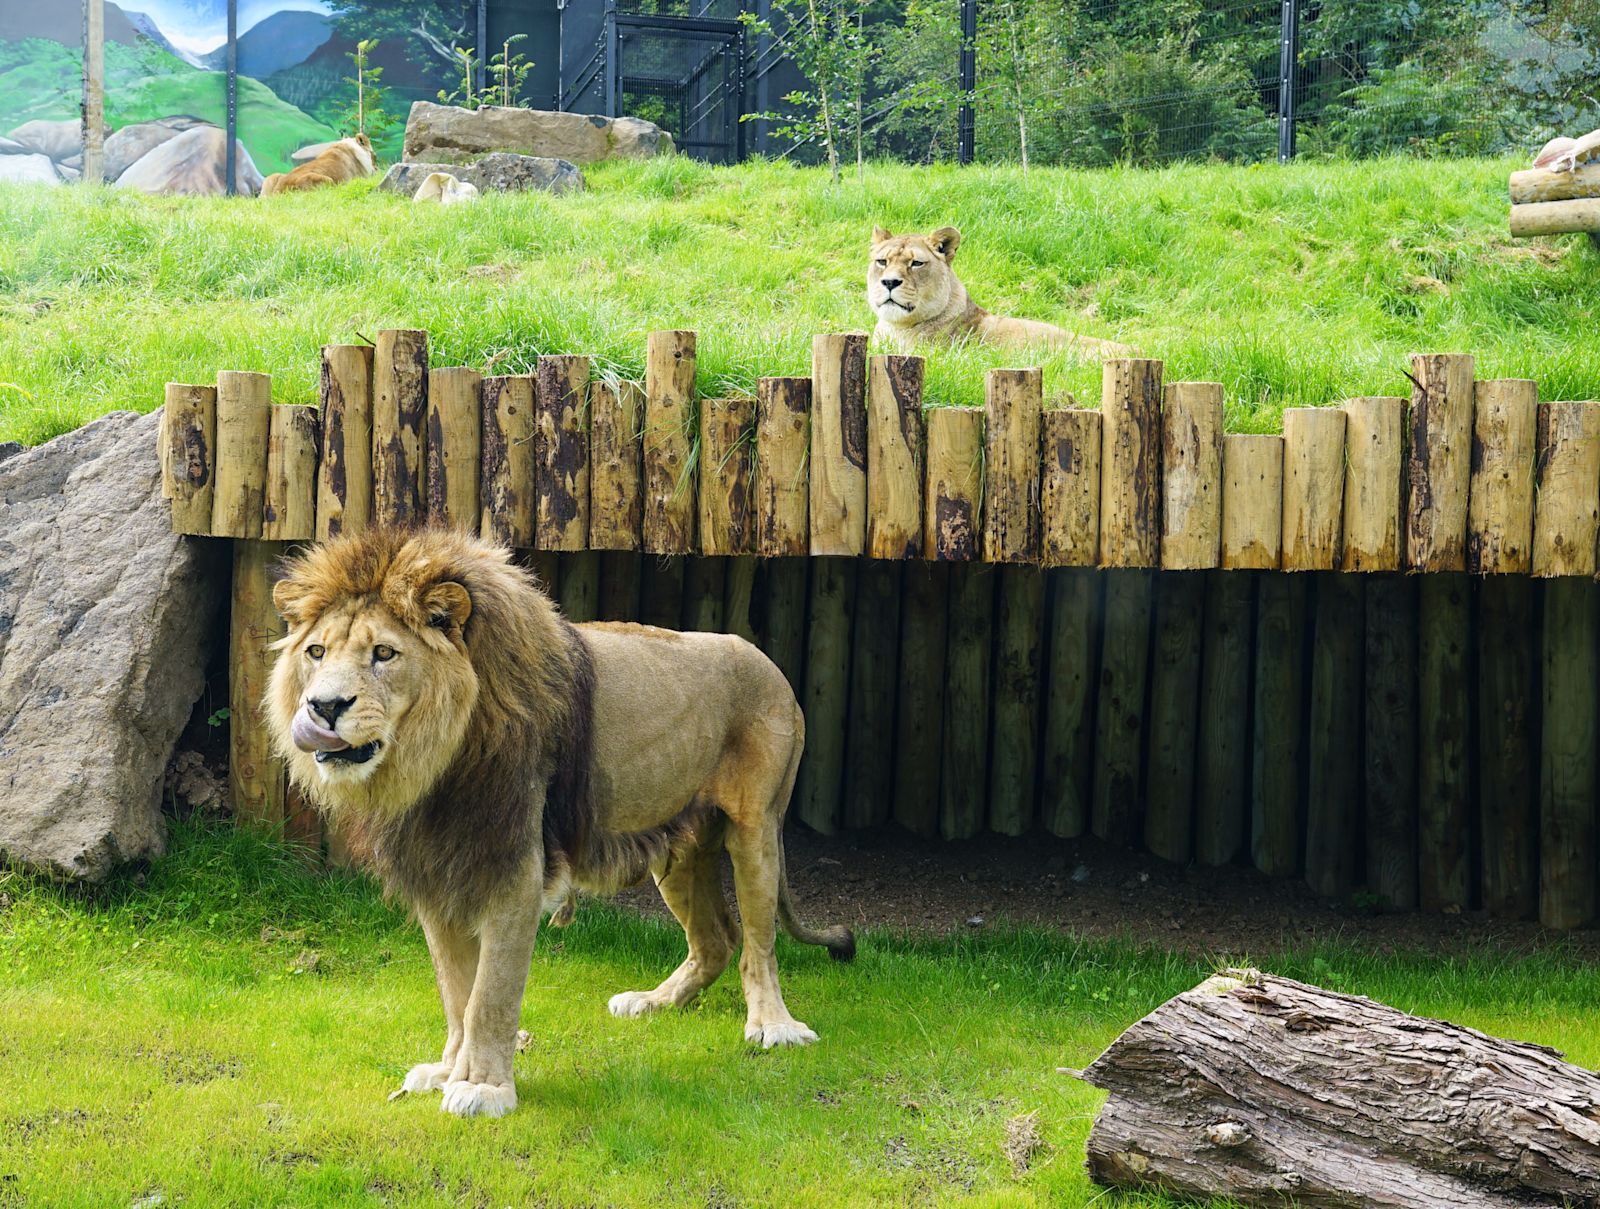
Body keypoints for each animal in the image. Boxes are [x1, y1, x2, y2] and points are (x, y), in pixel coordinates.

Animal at [266, 527, 854, 1119]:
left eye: (384, 653)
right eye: (316, 652)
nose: (324, 706)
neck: (432, 763)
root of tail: (770, 664)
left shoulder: (513, 870)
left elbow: (489, 996)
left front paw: (482, 1087)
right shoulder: (438, 868)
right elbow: (455, 991)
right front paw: (447, 1070)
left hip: (756, 828)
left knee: (758, 940)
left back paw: (774, 1026)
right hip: (679, 846)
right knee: (716, 938)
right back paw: (651, 1002)